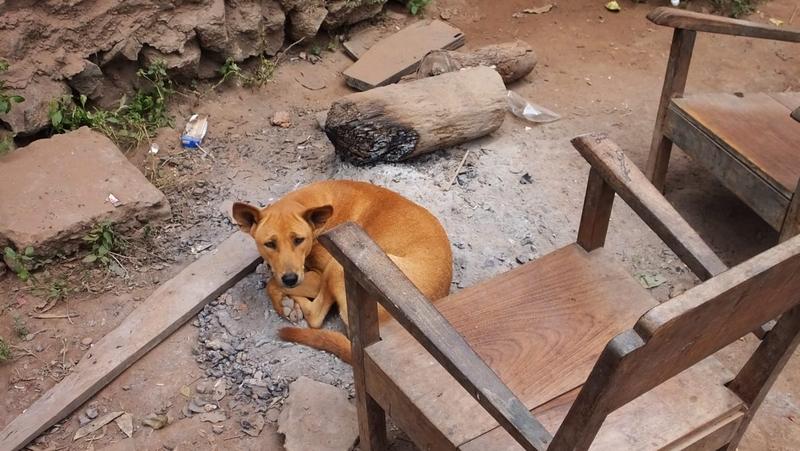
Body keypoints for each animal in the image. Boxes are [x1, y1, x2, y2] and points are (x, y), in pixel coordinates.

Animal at [234, 180, 454, 364]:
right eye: (270, 244)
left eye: (298, 240)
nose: (290, 279)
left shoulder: (315, 277)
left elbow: (271, 283)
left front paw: (284, 303)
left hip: (337, 266)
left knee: (315, 317)